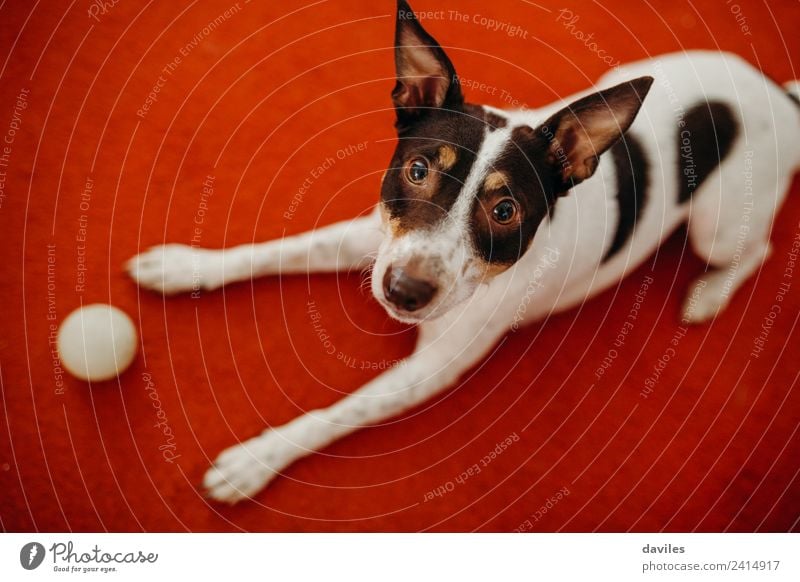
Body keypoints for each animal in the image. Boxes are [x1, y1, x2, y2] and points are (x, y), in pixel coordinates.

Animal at [128, 0, 800, 504]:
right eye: (418, 170)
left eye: (505, 212)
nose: (403, 292)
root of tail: (781, 96)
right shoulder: (376, 238)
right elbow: (275, 249)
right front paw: (186, 265)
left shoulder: (433, 366)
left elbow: (339, 412)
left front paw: (256, 459)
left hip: (715, 226)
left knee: (758, 247)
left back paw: (707, 295)